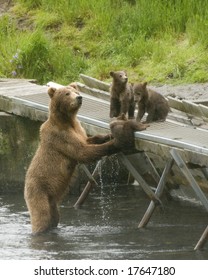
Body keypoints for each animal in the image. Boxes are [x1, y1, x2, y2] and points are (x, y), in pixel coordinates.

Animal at [24, 86, 119, 234]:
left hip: (52, 201)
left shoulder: (79, 130)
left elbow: (89, 140)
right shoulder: (61, 136)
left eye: (76, 92)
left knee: (54, 216)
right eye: (67, 93)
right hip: (38, 191)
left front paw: (109, 135)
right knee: (41, 217)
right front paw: (115, 143)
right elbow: (82, 152)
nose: (79, 98)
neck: (68, 120)